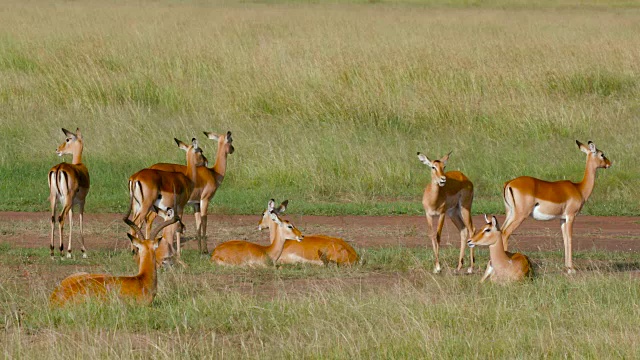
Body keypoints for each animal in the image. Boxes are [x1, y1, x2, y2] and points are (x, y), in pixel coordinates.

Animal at [48, 129, 90, 258]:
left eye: (67, 139)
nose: (57, 149)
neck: (79, 166)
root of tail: (59, 168)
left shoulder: (71, 204)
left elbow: (71, 222)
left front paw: (69, 251)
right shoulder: (82, 201)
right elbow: (80, 221)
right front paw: (83, 252)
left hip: (54, 199)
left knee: (53, 218)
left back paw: (52, 252)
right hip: (67, 199)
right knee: (61, 218)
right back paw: (61, 252)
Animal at [500, 141, 608, 272]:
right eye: (602, 154)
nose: (609, 163)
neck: (579, 188)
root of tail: (509, 183)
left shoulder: (562, 219)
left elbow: (565, 239)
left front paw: (567, 267)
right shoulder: (571, 216)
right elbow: (570, 239)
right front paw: (571, 269)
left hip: (510, 213)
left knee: (501, 231)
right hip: (520, 215)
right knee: (506, 232)